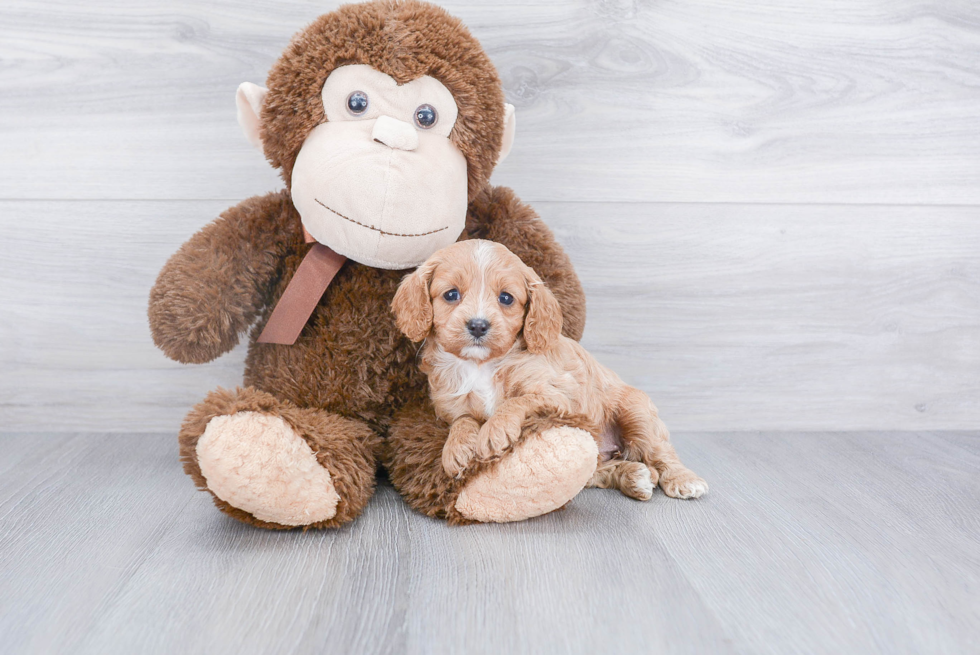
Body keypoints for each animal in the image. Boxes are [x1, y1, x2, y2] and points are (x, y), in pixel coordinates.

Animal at [388, 241, 704, 502]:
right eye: (451, 294)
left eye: (506, 298)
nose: (478, 325)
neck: (481, 364)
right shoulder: (450, 405)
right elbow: (463, 420)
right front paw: (457, 448)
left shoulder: (560, 393)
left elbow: (518, 400)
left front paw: (494, 431)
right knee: (599, 471)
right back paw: (634, 477)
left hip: (636, 412)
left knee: (661, 451)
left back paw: (683, 480)